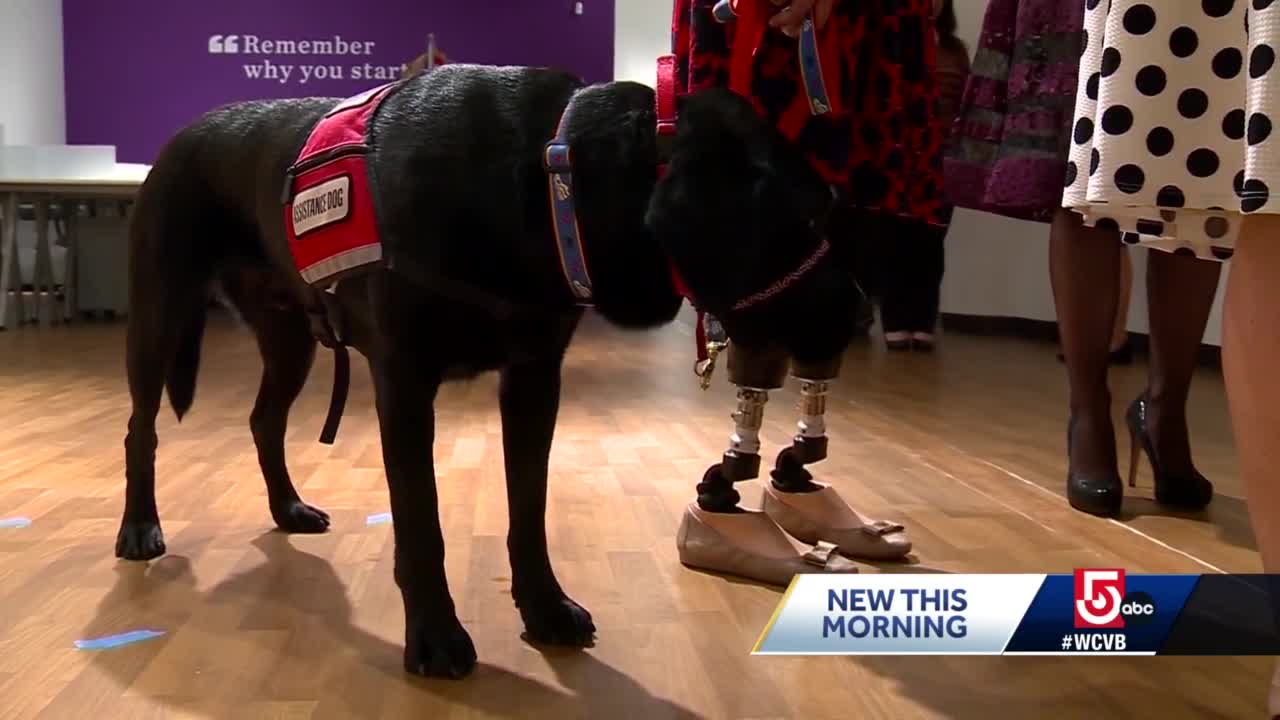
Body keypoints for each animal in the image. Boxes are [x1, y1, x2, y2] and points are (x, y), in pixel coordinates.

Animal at [117, 64, 860, 676]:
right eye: (810, 216)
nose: (860, 308)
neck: (547, 178)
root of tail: (182, 136)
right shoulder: (404, 384)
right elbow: (422, 523)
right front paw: (436, 636)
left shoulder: (533, 379)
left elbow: (527, 509)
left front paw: (545, 608)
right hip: (159, 315)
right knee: (140, 430)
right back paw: (139, 529)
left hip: (290, 335)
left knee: (263, 420)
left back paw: (287, 507)